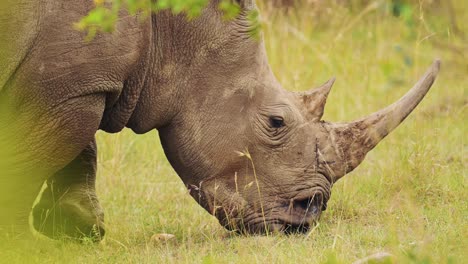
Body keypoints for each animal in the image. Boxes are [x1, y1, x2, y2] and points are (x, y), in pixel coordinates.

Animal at [0, 0, 438, 239]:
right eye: (276, 122)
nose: (308, 214)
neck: (172, 25)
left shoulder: (78, 83)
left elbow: (76, 145)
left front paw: (76, 227)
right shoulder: (70, 85)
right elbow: (36, 159)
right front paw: (28, 245)